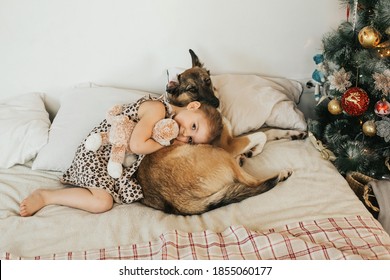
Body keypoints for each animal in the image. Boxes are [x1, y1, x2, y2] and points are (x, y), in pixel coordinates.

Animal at [137, 49, 298, 214]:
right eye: (192, 89)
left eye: (207, 80)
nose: (216, 103)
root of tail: (178, 202)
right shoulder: (229, 145)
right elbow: (261, 134)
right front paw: (256, 150)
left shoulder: (233, 136)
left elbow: (269, 131)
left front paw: (293, 134)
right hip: (220, 153)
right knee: (252, 182)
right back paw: (279, 174)